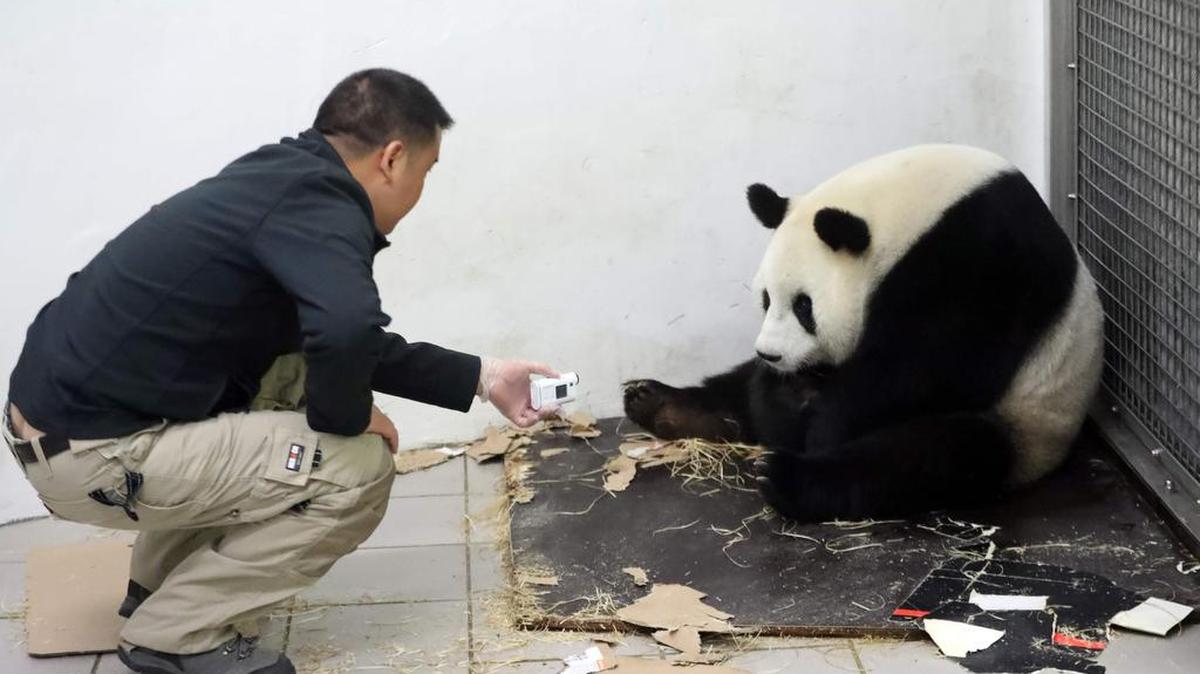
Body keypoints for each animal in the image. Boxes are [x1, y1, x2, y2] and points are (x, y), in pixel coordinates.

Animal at [624, 144, 1104, 522]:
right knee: (733, 387)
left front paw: (814, 424)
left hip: (1027, 420)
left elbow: (924, 367)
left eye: (804, 305)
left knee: (929, 456)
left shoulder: (984, 263)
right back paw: (659, 403)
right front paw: (783, 399)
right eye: (765, 299)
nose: (771, 355)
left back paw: (787, 479)